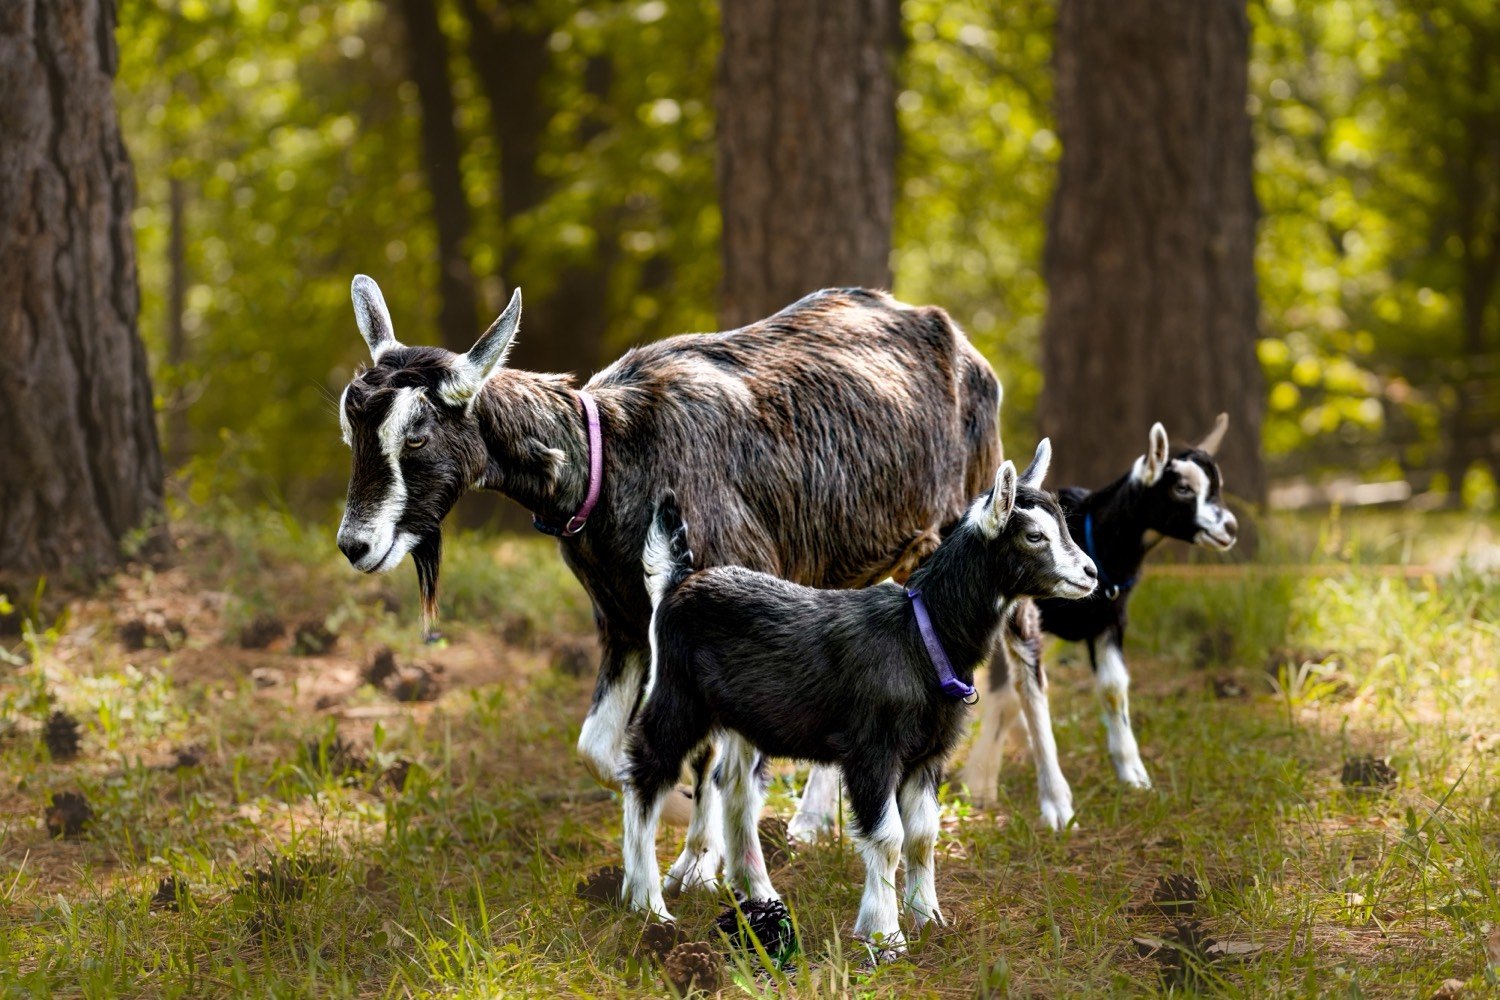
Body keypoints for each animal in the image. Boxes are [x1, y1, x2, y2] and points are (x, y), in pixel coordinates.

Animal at [334, 275, 1000, 893]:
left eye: (416, 434)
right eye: (351, 431)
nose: (355, 545)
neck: (612, 460)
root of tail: (959, 339)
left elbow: (711, 757)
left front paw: (698, 864)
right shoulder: (625, 622)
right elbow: (598, 750)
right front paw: (675, 819)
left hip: (962, 518)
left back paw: (996, 791)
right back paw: (811, 823)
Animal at [622, 440, 1097, 952]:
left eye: (1064, 524)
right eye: (1033, 536)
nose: (1091, 573)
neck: (920, 636)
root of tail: (677, 582)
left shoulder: (928, 754)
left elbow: (923, 835)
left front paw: (929, 919)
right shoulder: (872, 750)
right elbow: (888, 837)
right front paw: (885, 935)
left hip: (742, 718)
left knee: (734, 787)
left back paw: (760, 896)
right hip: (678, 696)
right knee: (646, 772)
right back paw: (647, 903)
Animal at [960, 416, 1238, 809]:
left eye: (1217, 487)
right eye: (1182, 488)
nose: (1230, 528)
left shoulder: (1111, 620)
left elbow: (1113, 687)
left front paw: (1134, 775)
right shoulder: (1017, 615)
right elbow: (1009, 690)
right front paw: (981, 783)